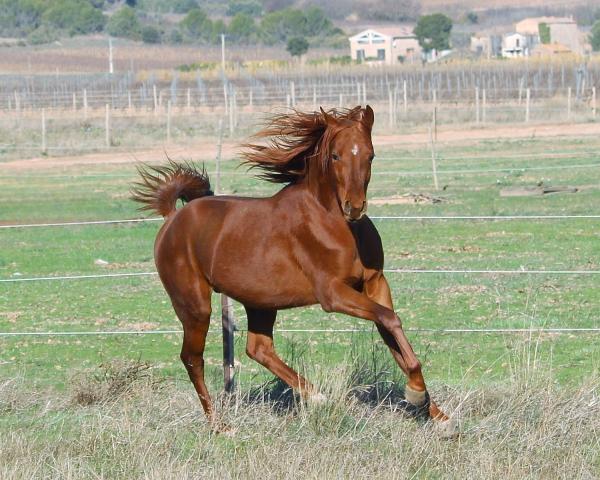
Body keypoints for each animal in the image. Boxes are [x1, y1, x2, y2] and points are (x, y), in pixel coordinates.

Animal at [130, 108, 450, 432]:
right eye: (335, 155)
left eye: (370, 155)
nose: (355, 207)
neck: (334, 223)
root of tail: (172, 218)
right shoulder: (332, 293)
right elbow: (389, 320)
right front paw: (417, 395)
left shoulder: (375, 283)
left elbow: (393, 333)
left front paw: (434, 411)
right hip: (195, 305)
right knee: (192, 358)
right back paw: (219, 424)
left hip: (260, 302)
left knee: (258, 348)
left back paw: (314, 395)